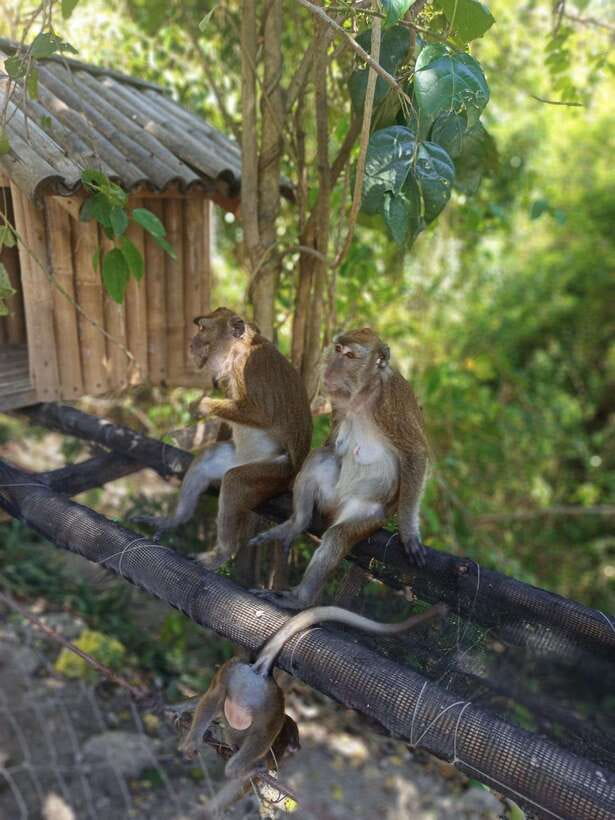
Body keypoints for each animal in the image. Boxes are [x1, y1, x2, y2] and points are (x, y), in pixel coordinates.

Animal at [131, 307, 313, 570]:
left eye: (202, 328)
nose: (191, 343)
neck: (238, 351)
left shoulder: (250, 367)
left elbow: (262, 414)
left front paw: (201, 405)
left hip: (276, 472)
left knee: (235, 481)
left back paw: (223, 553)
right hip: (234, 458)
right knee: (207, 461)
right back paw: (175, 519)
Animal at [170, 602, 447, 782]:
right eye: (293, 747)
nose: (296, 749)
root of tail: (259, 671)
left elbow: (213, 699)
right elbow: (265, 735)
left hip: (233, 671)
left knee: (216, 696)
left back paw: (195, 739)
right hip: (270, 700)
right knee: (264, 728)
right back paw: (239, 768)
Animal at [249, 328, 429, 609]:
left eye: (351, 356)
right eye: (337, 350)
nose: (332, 368)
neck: (363, 393)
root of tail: (336, 507)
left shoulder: (391, 399)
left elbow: (415, 453)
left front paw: (409, 532)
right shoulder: (338, 401)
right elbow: (332, 443)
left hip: (368, 514)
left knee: (337, 537)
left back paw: (299, 599)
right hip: (329, 495)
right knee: (320, 458)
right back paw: (297, 523)